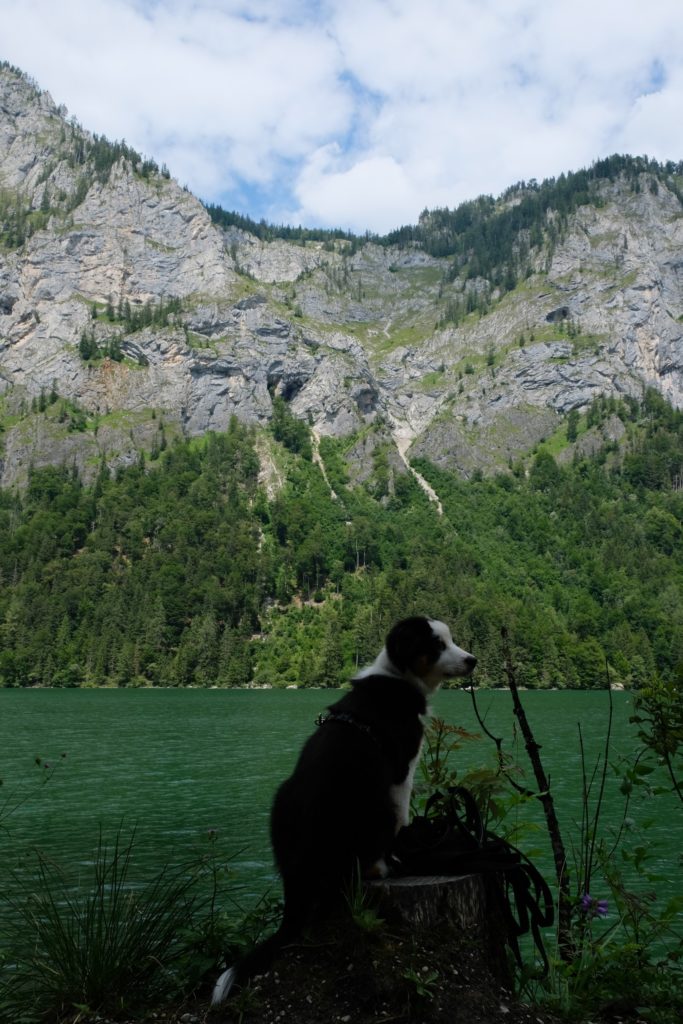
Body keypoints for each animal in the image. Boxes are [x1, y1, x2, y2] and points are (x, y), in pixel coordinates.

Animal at [211, 610, 475, 1003]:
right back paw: (385, 865)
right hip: (372, 801)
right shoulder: (401, 771)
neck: (398, 680)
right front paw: (403, 850)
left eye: (451, 639)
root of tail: (298, 875)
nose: (473, 660)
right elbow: (402, 818)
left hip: (281, 798)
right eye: (437, 644)